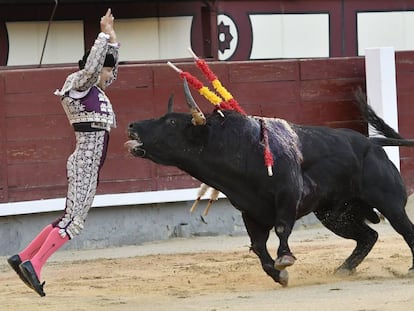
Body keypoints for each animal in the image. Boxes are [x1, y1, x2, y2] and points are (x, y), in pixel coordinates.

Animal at [124, 83, 414, 288]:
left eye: (172, 121)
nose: (132, 125)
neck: (238, 150)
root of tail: (373, 144)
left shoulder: (288, 196)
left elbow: (282, 228)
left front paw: (284, 259)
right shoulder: (250, 211)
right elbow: (258, 246)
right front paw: (277, 274)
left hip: (390, 203)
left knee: (405, 230)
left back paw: (409, 269)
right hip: (334, 214)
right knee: (368, 236)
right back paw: (342, 270)